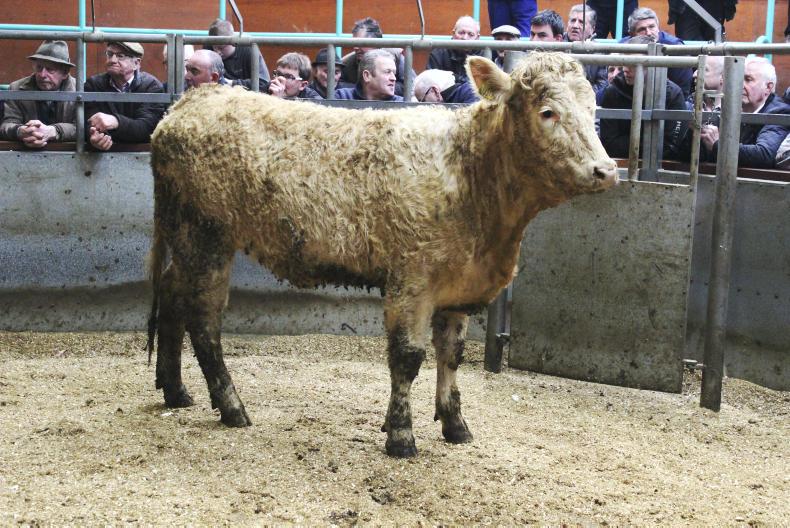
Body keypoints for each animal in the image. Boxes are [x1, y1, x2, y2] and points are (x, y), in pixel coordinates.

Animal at [147, 53, 618, 458]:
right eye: (548, 112)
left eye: (593, 109)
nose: (606, 170)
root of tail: (188, 104)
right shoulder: (411, 280)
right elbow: (407, 358)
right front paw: (401, 436)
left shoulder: (457, 286)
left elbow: (451, 355)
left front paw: (455, 425)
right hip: (206, 237)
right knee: (204, 322)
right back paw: (232, 407)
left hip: (187, 240)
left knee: (171, 296)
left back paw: (175, 391)